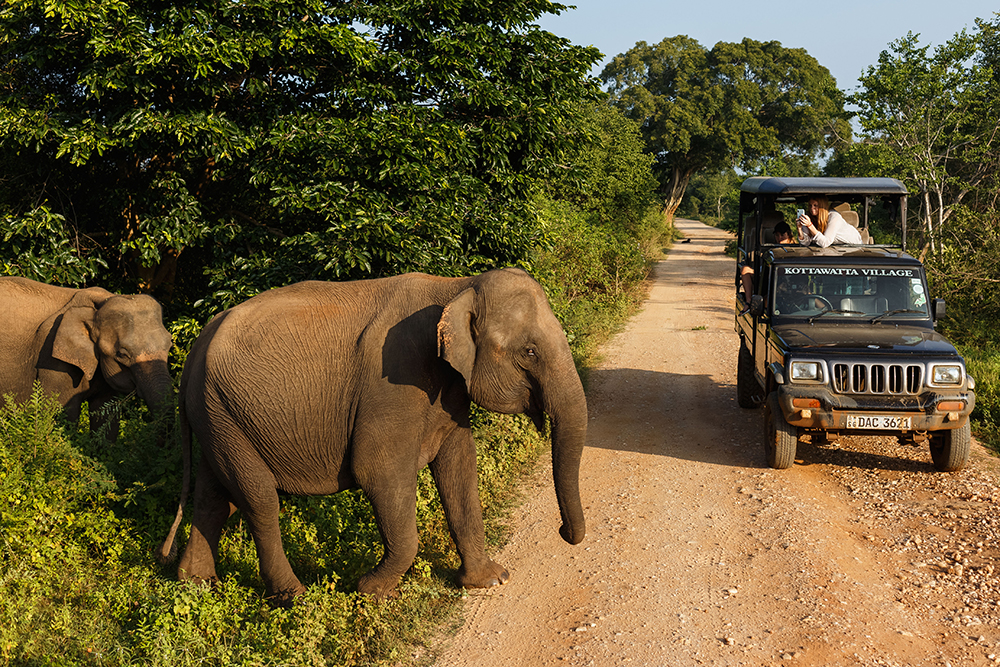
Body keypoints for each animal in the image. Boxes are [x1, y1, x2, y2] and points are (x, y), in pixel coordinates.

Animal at [0, 276, 174, 438]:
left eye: (169, 346)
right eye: (122, 354)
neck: (101, 302)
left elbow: (106, 418)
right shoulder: (52, 358)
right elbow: (61, 414)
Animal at [156, 266, 584, 604]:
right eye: (529, 352)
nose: (564, 532)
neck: (457, 287)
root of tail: (192, 353)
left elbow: (459, 465)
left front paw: (491, 580)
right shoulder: (392, 381)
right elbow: (378, 471)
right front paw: (370, 590)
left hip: (218, 417)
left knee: (216, 496)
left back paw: (196, 584)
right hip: (222, 410)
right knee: (258, 499)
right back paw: (295, 597)